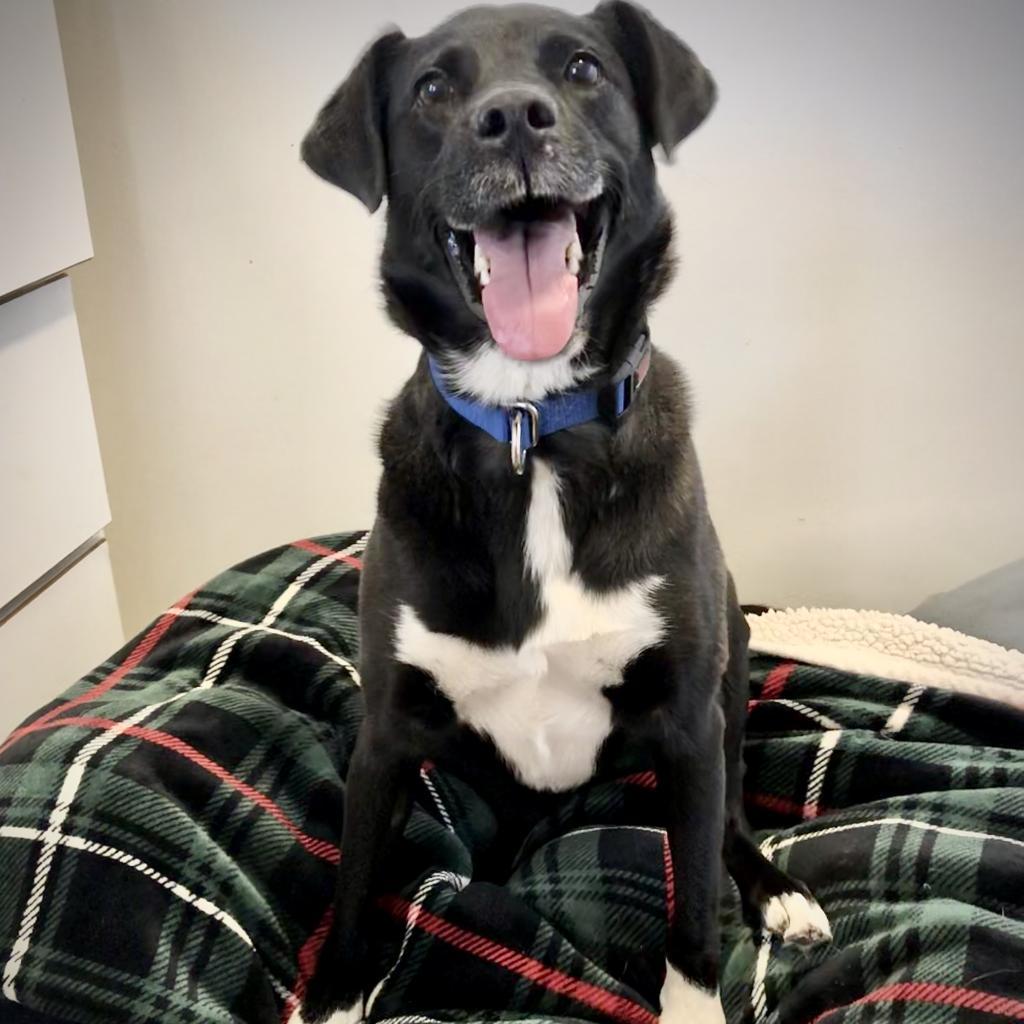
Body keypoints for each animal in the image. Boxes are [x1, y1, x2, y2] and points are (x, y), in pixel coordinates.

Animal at [299, 4, 831, 1019]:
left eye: (583, 69)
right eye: (433, 88)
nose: (512, 120)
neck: (530, 423)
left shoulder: (687, 725)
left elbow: (695, 903)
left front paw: (697, 995)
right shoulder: (385, 734)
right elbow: (349, 893)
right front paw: (336, 993)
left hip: (731, 674)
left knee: (732, 819)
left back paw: (780, 891)